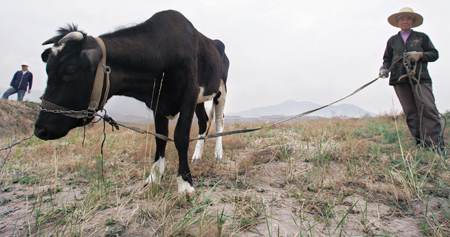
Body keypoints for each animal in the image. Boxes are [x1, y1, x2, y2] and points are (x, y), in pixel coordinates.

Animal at [34, 10, 229, 195]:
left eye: (70, 71)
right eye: (48, 70)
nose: (40, 130)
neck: (162, 50)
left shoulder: (189, 93)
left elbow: (181, 136)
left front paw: (185, 184)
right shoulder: (159, 101)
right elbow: (160, 137)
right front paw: (154, 178)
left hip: (221, 90)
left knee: (219, 121)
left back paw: (218, 153)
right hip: (201, 98)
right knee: (203, 121)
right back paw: (197, 155)